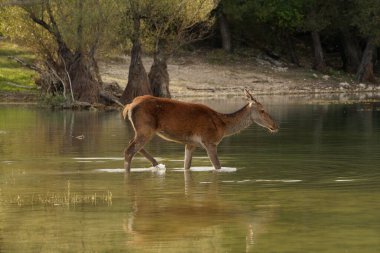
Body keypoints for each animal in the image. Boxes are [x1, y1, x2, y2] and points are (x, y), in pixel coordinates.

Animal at [122, 88, 280, 172]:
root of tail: (128, 106)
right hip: (146, 128)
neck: (223, 126)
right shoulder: (210, 141)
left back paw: (157, 164)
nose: (275, 125)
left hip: (143, 129)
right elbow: (218, 166)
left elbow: (186, 166)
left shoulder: (191, 143)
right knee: (129, 150)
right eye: (262, 110)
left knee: (133, 145)